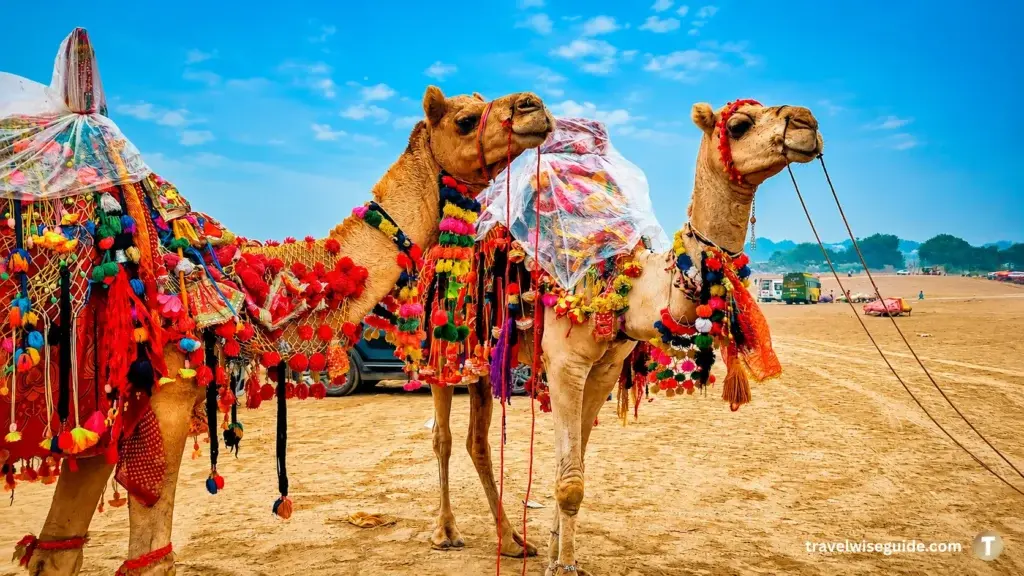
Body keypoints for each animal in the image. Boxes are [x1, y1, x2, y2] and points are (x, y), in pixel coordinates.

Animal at [14, 83, 554, 575]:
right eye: (465, 120)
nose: (534, 105)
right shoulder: (163, 396)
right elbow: (149, 560)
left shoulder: (98, 423)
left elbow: (56, 552)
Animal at [427, 100, 823, 575]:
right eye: (740, 125)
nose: (806, 123)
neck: (630, 286)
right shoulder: (565, 364)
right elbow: (569, 480)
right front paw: (563, 567)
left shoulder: (604, 369)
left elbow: (574, 469)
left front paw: (560, 554)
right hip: (443, 341)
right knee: (443, 437)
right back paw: (446, 533)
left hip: (487, 358)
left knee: (478, 441)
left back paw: (514, 542)